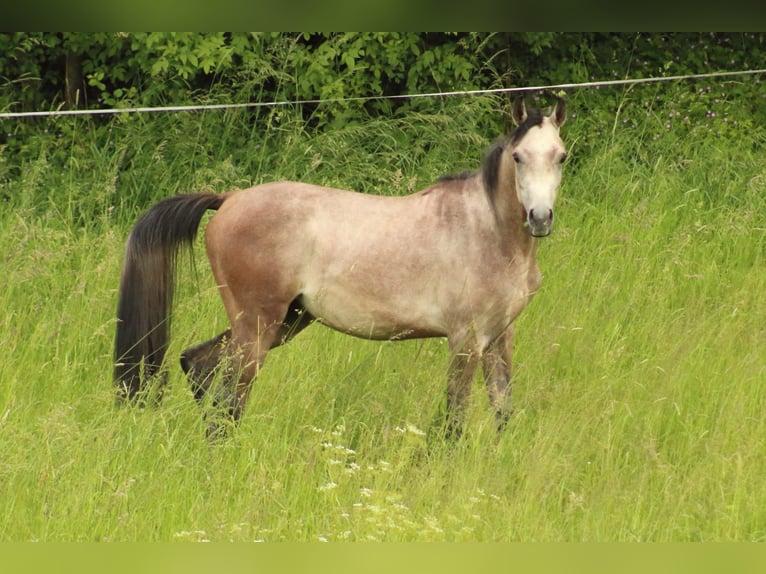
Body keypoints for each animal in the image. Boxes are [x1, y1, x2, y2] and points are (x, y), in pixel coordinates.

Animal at [115, 97, 568, 438]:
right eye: (518, 156)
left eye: (561, 157)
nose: (540, 218)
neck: (484, 227)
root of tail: (229, 199)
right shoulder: (466, 340)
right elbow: (453, 421)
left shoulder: (499, 337)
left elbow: (502, 411)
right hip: (259, 327)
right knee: (229, 392)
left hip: (285, 321)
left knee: (199, 366)